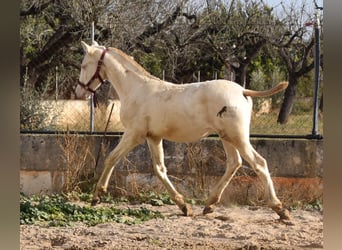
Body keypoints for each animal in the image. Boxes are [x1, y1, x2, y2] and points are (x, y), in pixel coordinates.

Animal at [75, 41, 292, 221]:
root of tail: (242, 90)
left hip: (237, 137)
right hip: (226, 137)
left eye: (84, 65)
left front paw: (96, 196)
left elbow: (111, 158)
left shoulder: (134, 134)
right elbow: (160, 169)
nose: (79, 92)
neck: (136, 90)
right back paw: (209, 205)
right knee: (234, 163)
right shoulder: (153, 137)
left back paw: (280, 210)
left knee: (259, 163)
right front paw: (184, 206)